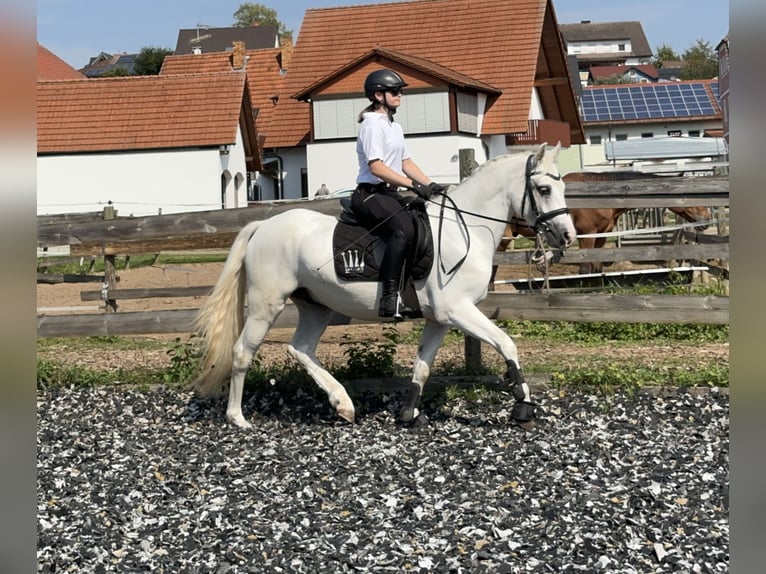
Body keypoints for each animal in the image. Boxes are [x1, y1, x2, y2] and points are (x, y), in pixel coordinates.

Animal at [192, 143, 576, 430]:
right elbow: (507, 344)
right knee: (243, 352)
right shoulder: (459, 311)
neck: (461, 228)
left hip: (316, 305)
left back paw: (343, 404)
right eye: (544, 189)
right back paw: (238, 418)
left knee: (300, 349)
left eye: (562, 187)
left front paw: (409, 415)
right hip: (266, 304)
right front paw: (523, 409)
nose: (568, 236)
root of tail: (264, 225)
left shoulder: (439, 318)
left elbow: (422, 366)